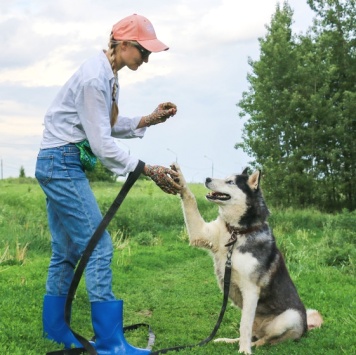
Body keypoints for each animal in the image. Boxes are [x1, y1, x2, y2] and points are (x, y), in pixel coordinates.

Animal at [172, 165, 322, 354]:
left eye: (230, 182)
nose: (207, 179)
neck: (236, 232)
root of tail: (306, 328)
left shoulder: (251, 290)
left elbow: (244, 326)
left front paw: (244, 351)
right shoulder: (201, 233)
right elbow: (190, 200)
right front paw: (179, 178)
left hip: (290, 317)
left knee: (264, 340)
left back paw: (251, 346)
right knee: (254, 335)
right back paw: (226, 340)